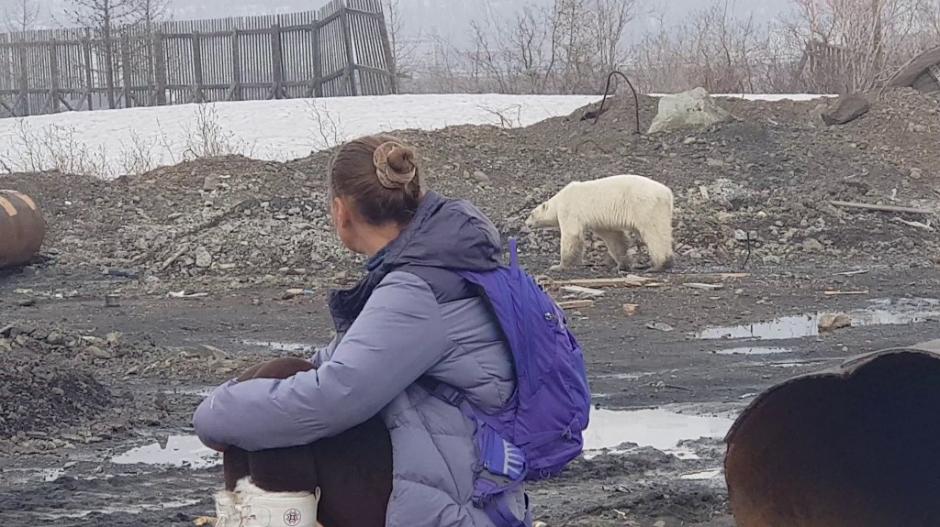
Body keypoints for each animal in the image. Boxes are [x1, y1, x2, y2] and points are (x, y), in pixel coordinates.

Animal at [525, 174, 674, 272]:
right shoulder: (601, 221)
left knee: (654, 233)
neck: (559, 200)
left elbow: (571, 235)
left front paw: (559, 266)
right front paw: (621, 264)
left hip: (644, 206)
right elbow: (613, 237)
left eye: (531, 214)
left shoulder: (569, 210)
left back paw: (658, 265)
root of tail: (667, 193)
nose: (526, 224)